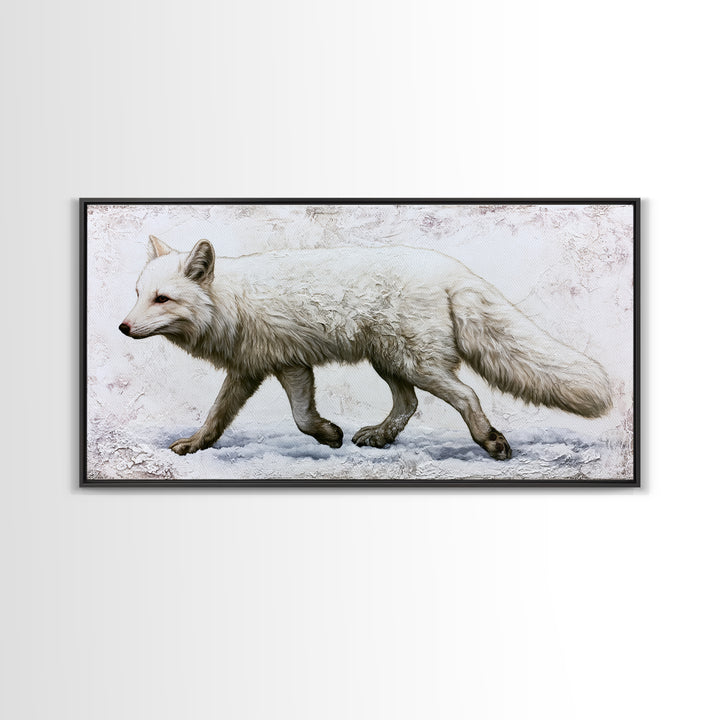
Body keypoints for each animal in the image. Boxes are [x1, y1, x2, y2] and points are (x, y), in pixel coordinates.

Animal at [119, 235, 612, 460]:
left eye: (162, 299)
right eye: (138, 293)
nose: (122, 327)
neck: (231, 303)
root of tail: (450, 268)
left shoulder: (286, 364)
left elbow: (300, 418)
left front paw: (326, 434)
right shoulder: (261, 368)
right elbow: (218, 416)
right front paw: (195, 444)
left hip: (415, 363)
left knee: (466, 394)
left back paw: (490, 440)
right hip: (390, 361)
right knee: (409, 404)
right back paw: (380, 435)